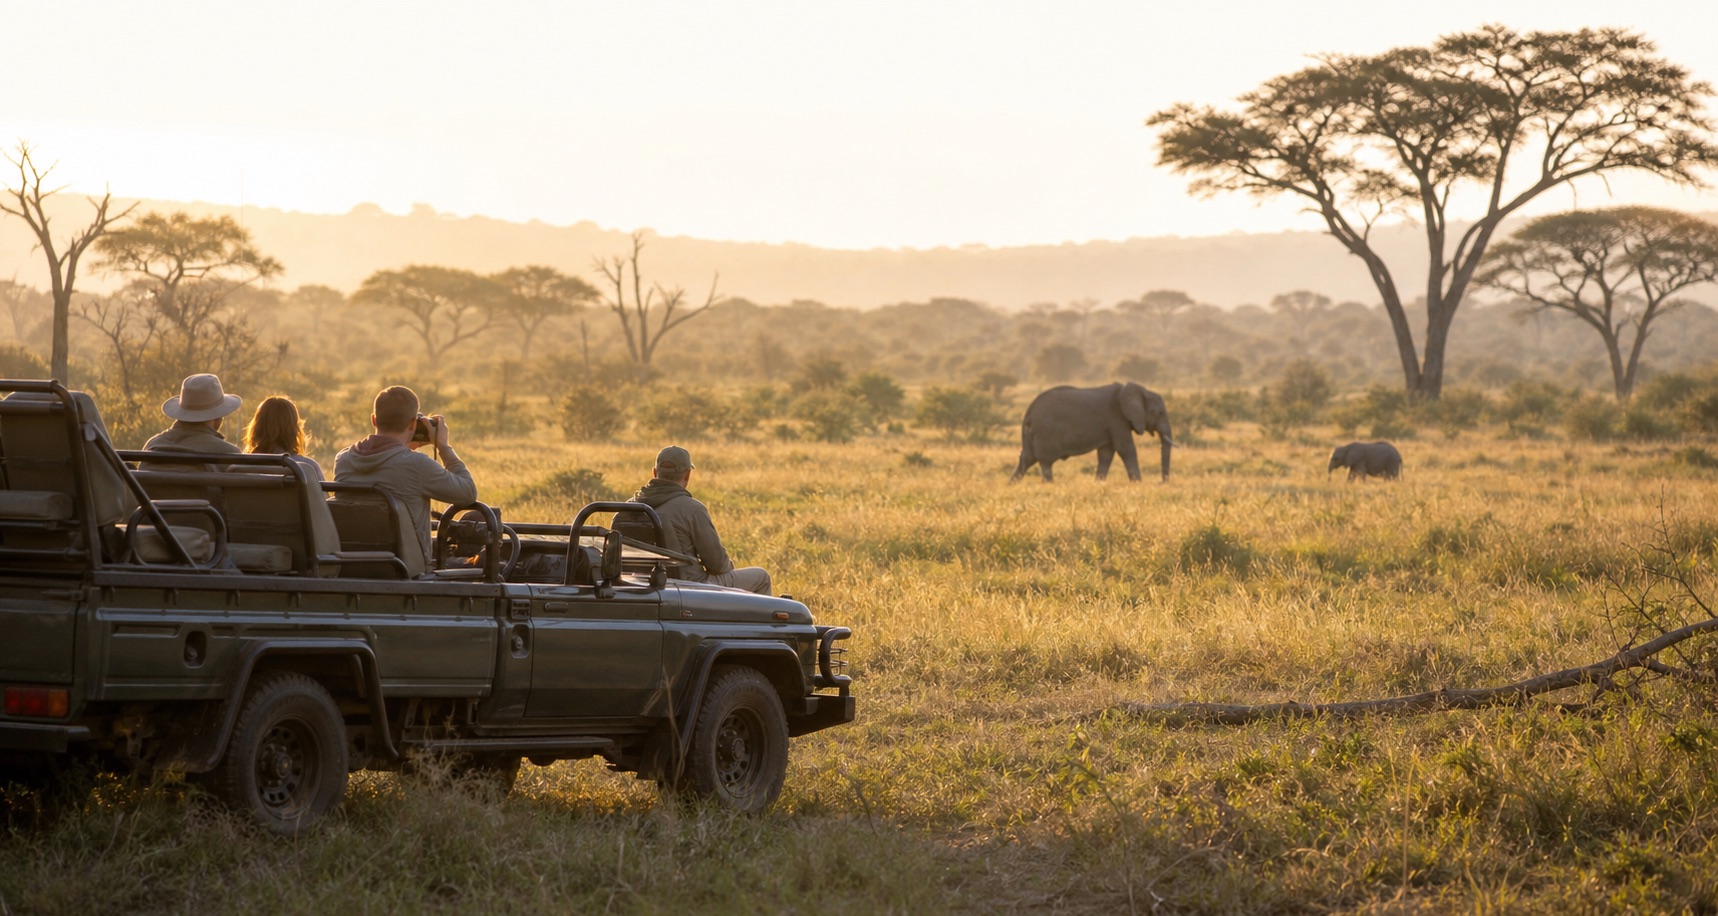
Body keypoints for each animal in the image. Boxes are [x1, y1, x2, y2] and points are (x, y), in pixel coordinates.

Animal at [1011, 382, 1173, 482]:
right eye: (1159, 413)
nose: (1161, 482)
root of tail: (1028, 413)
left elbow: (1106, 454)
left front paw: (1099, 483)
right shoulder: (1117, 418)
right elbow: (1126, 449)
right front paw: (1138, 483)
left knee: (1026, 458)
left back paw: (1012, 484)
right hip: (1046, 432)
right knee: (1045, 461)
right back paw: (1049, 484)